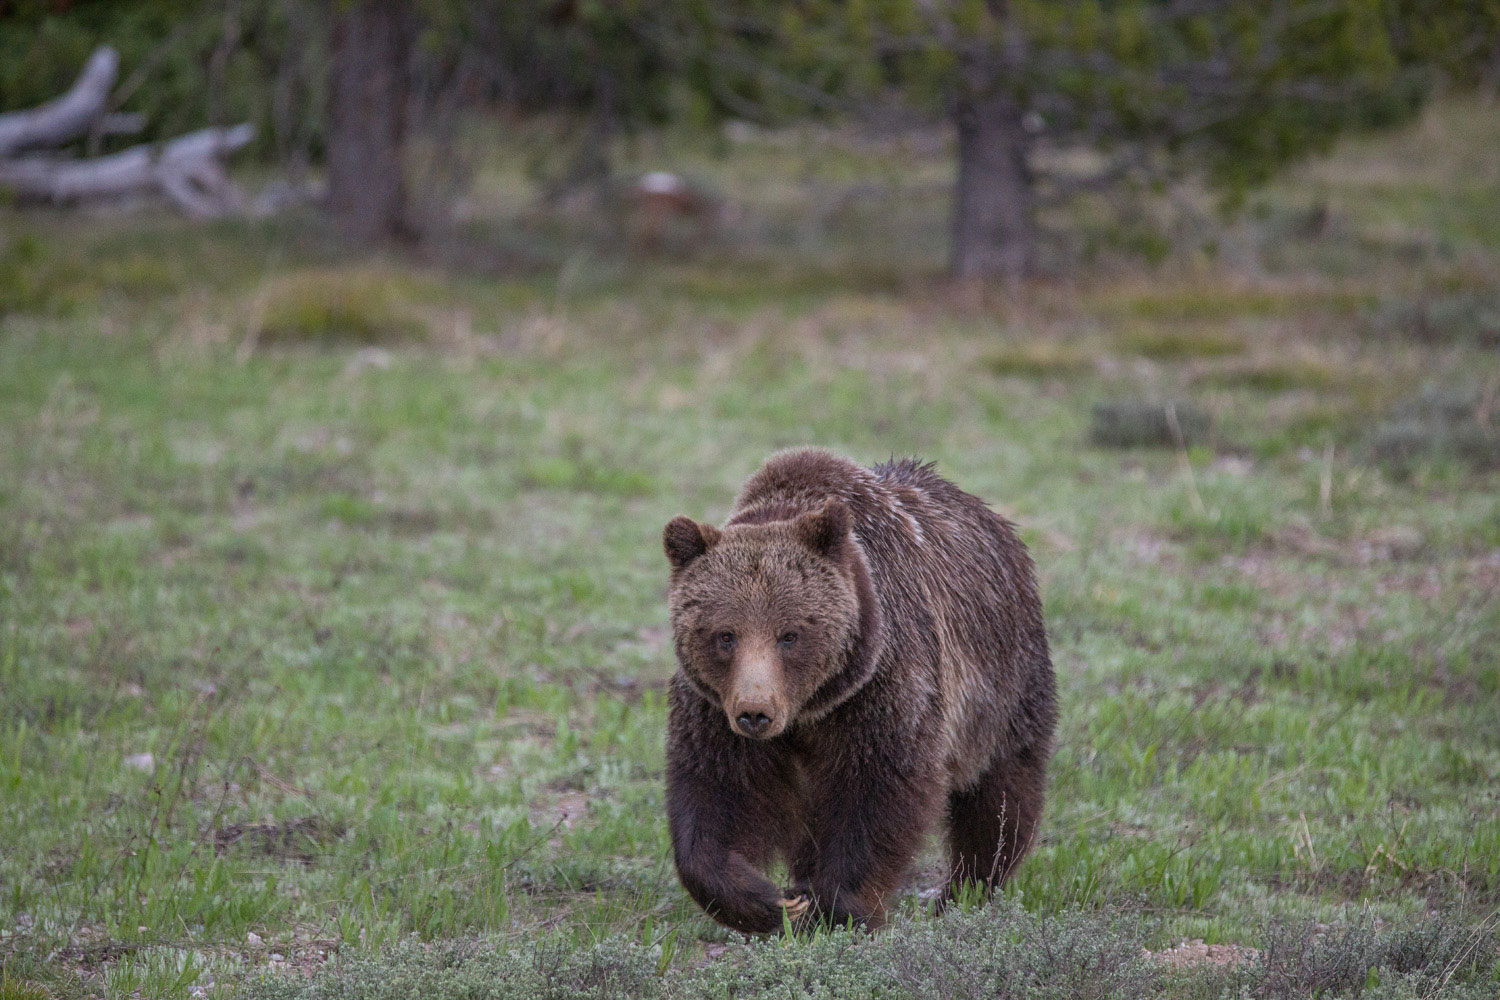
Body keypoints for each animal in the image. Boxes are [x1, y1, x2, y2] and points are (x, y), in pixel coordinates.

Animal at [663, 449, 1062, 935]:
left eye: (789, 635)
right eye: (725, 635)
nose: (755, 713)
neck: (811, 709)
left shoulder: (879, 689)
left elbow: (878, 794)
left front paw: (834, 907)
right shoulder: (713, 708)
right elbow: (716, 796)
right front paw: (773, 901)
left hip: (1004, 683)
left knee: (1000, 794)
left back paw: (967, 892)